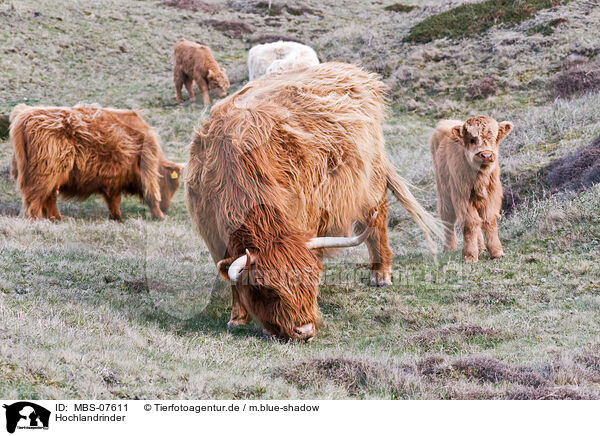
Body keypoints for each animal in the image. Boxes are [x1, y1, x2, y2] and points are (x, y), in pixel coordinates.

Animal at [9, 104, 182, 221]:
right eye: (173, 184)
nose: (166, 208)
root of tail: (26, 115)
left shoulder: (114, 179)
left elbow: (114, 199)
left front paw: (117, 217)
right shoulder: (147, 171)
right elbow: (151, 194)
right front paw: (159, 216)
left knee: (47, 197)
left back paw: (56, 218)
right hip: (46, 172)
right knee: (36, 197)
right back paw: (37, 219)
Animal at [185, 62, 442, 340]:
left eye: (312, 280)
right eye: (266, 288)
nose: (304, 330)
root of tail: (353, 71)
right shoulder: (215, 238)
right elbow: (233, 280)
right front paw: (237, 318)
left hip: (369, 184)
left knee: (376, 223)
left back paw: (380, 274)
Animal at [428, 116, 512, 262]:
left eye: (493, 138)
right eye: (472, 139)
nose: (486, 155)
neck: (480, 178)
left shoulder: (491, 195)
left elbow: (489, 221)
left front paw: (496, 252)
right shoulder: (462, 197)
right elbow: (469, 224)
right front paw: (470, 256)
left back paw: (481, 247)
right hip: (444, 192)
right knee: (448, 219)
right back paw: (449, 248)